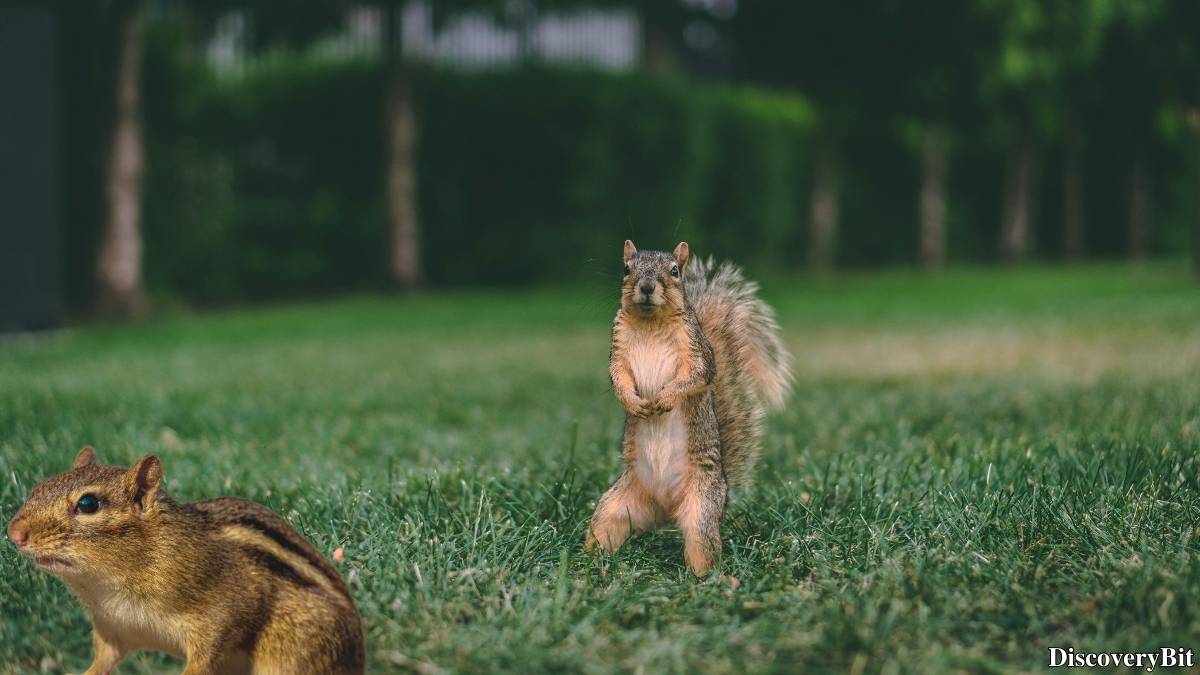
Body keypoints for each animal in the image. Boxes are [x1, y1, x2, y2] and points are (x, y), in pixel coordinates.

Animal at [6, 447, 364, 675]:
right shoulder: (112, 629)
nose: (14, 533)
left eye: (88, 504)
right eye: (37, 487)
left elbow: (206, 655)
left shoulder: (223, 615)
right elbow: (102, 662)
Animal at [585, 240, 792, 575]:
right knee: (604, 526)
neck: (650, 321)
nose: (646, 287)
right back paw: (587, 562)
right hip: (616, 506)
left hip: (701, 508)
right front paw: (634, 403)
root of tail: (665, 508)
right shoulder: (618, 350)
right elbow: (618, 378)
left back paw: (706, 578)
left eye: (674, 271)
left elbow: (696, 376)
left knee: (701, 544)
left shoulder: (697, 350)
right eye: (626, 268)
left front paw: (665, 399)